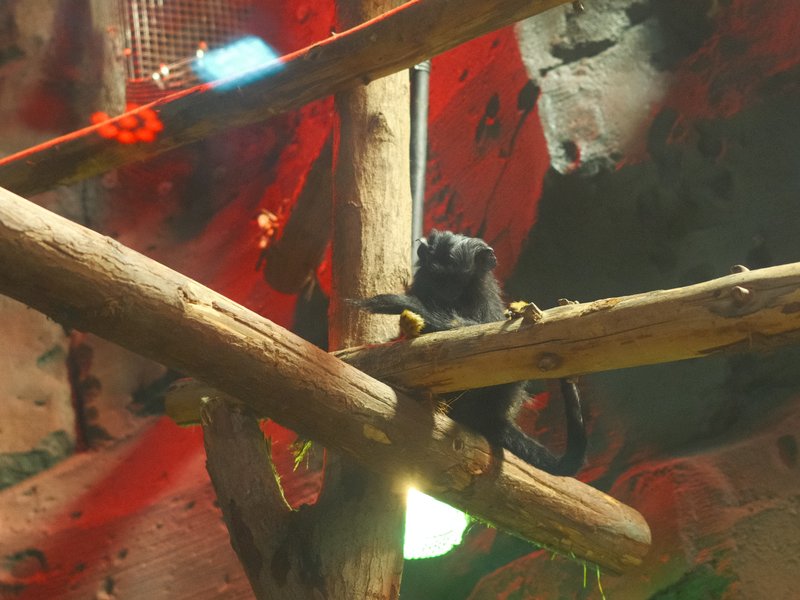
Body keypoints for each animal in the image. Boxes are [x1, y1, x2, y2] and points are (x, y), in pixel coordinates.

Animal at [358, 230, 587, 476]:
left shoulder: (483, 296)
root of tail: (492, 416)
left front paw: (399, 304)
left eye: (457, 280)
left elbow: (483, 334)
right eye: (439, 277)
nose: (447, 292)